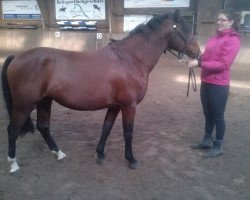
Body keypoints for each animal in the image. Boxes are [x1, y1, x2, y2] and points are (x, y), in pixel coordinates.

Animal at [0, 9, 199, 173]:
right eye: (183, 28)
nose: (197, 52)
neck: (130, 59)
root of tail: (17, 56)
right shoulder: (129, 106)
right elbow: (128, 133)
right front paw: (131, 159)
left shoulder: (115, 106)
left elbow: (106, 128)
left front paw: (100, 154)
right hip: (24, 105)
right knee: (13, 130)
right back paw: (14, 164)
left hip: (44, 101)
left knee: (43, 127)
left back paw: (59, 153)